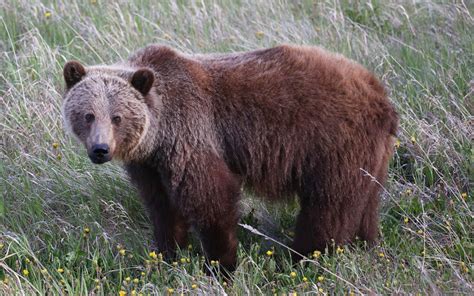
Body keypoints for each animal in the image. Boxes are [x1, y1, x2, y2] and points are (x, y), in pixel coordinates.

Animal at [62, 44, 396, 276]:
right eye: (88, 115)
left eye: (117, 117)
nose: (101, 149)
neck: (159, 132)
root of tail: (379, 92)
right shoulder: (150, 165)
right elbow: (162, 207)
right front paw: (168, 254)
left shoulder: (192, 133)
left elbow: (211, 198)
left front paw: (221, 265)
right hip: (372, 158)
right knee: (365, 204)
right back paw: (365, 244)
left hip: (334, 143)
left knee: (328, 207)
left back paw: (304, 258)